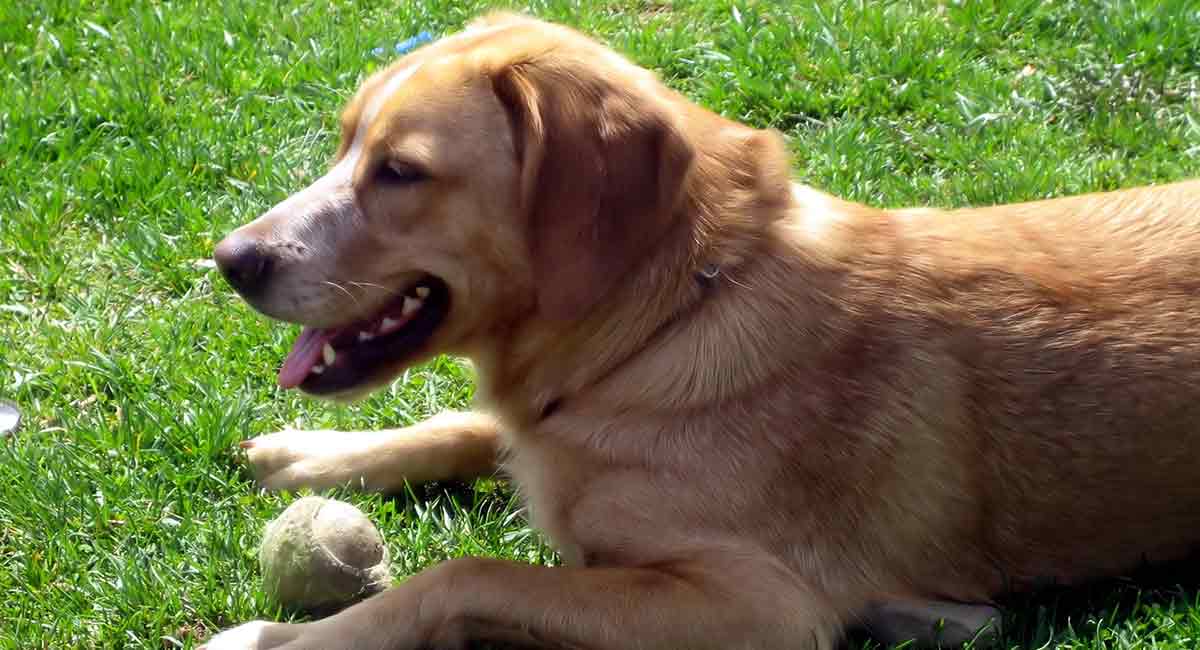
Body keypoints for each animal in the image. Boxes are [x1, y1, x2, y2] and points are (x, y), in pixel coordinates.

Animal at [204, 11, 1200, 650]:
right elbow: (467, 426)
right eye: (345, 142)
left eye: (402, 171)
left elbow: (472, 574)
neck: (665, 323)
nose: (230, 258)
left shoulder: (759, 606)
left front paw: (281, 640)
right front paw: (313, 453)